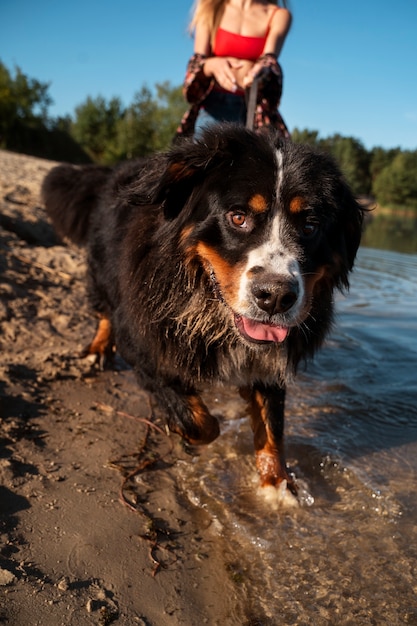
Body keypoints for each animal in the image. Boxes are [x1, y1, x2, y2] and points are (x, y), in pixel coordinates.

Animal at [40, 124, 362, 500]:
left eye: (309, 227)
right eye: (238, 217)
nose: (276, 296)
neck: (209, 308)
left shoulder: (269, 362)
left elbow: (272, 429)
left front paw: (277, 489)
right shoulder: (145, 341)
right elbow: (201, 423)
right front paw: (184, 431)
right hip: (103, 269)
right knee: (103, 307)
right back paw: (98, 348)